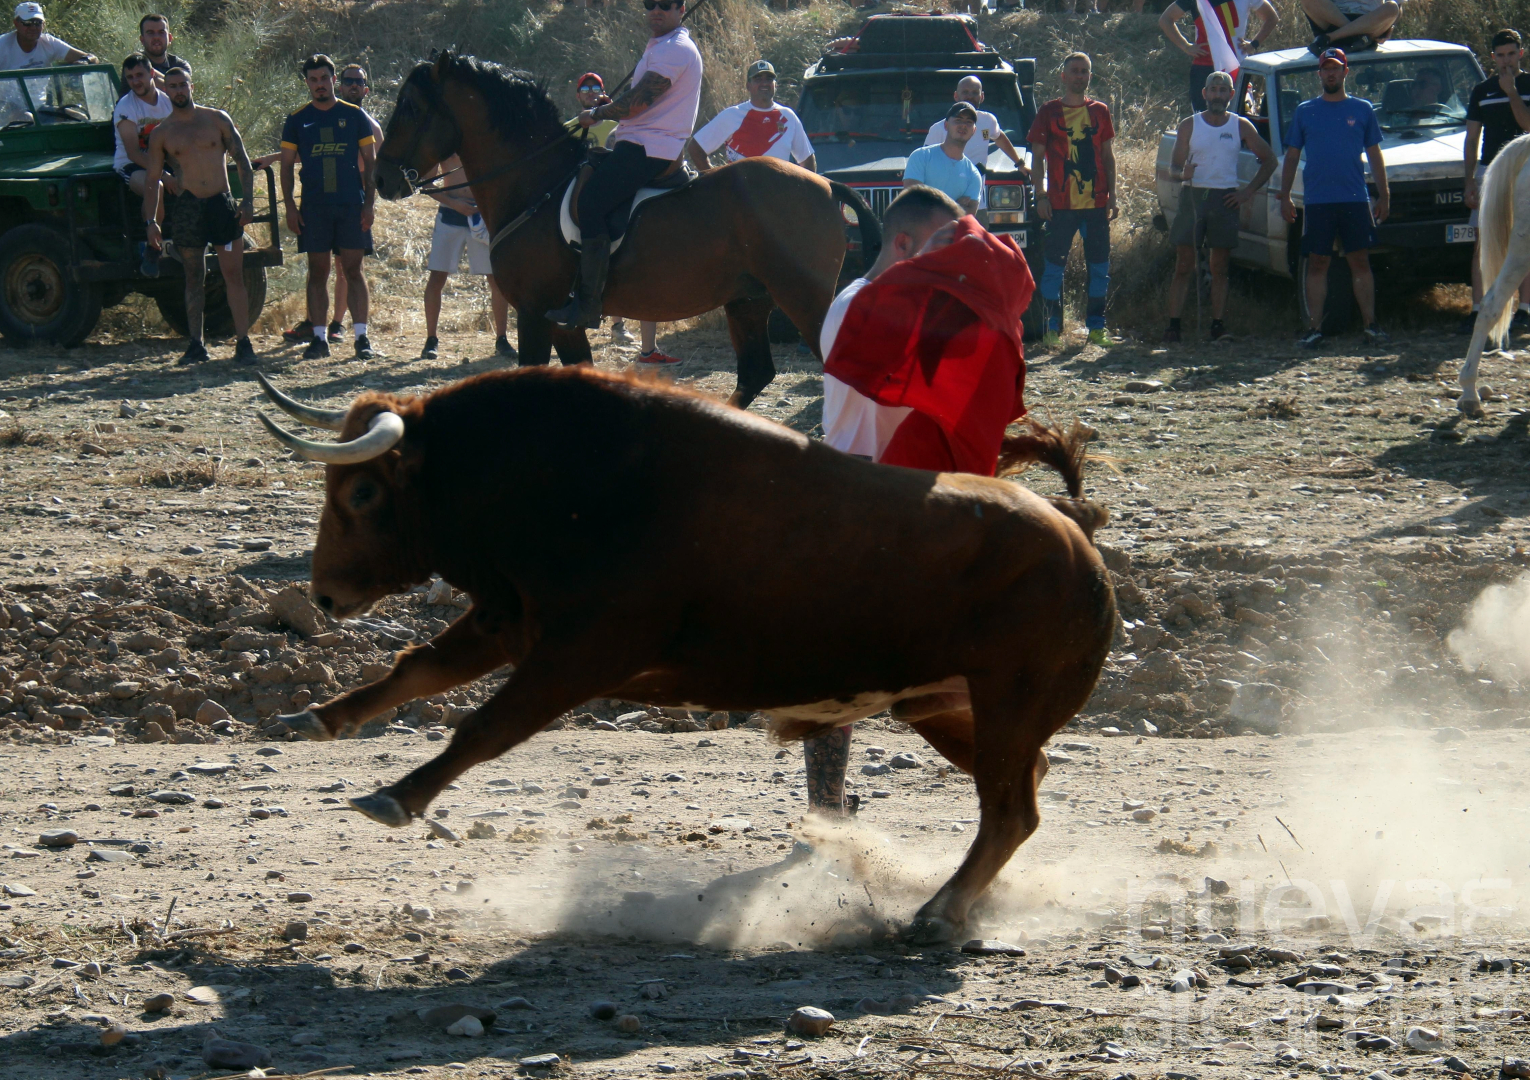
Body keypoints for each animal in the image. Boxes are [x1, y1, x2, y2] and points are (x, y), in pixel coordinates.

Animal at [253, 366, 1115, 944]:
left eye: (363, 492)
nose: (323, 594)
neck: (563, 477)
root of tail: (1077, 540)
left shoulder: (580, 653)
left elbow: (484, 726)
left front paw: (398, 796)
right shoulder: (509, 619)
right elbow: (418, 668)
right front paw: (315, 718)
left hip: (1008, 706)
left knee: (1011, 809)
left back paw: (939, 913)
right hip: (944, 709)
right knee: (1026, 789)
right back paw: (964, 901)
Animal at [374, 52, 881, 409]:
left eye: (411, 107)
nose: (382, 178)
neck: (535, 185)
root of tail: (825, 183)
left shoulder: (535, 312)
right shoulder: (562, 319)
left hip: (804, 299)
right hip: (749, 299)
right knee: (756, 374)